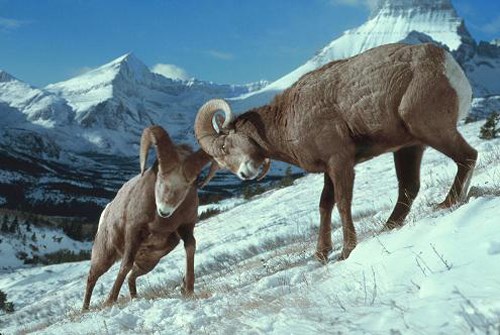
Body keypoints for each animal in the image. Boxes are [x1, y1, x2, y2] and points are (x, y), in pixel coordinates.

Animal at [81, 124, 213, 312]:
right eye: (161, 177)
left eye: (189, 183)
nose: (164, 211)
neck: (161, 221)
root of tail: (105, 212)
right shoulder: (134, 232)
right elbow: (125, 265)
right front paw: (110, 301)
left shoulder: (186, 227)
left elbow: (190, 248)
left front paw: (187, 289)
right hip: (104, 256)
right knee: (93, 277)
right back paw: (84, 309)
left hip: (149, 262)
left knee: (132, 276)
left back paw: (135, 298)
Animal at [194, 42, 476, 262]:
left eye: (224, 147)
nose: (244, 174)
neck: (287, 120)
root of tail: (448, 64)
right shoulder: (328, 169)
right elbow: (324, 205)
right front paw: (321, 254)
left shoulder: (340, 161)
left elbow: (342, 202)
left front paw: (346, 251)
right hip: (409, 147)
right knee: (409, 186)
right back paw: (389, 226)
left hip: (428, 128)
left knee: (467, 157)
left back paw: (448, 203)